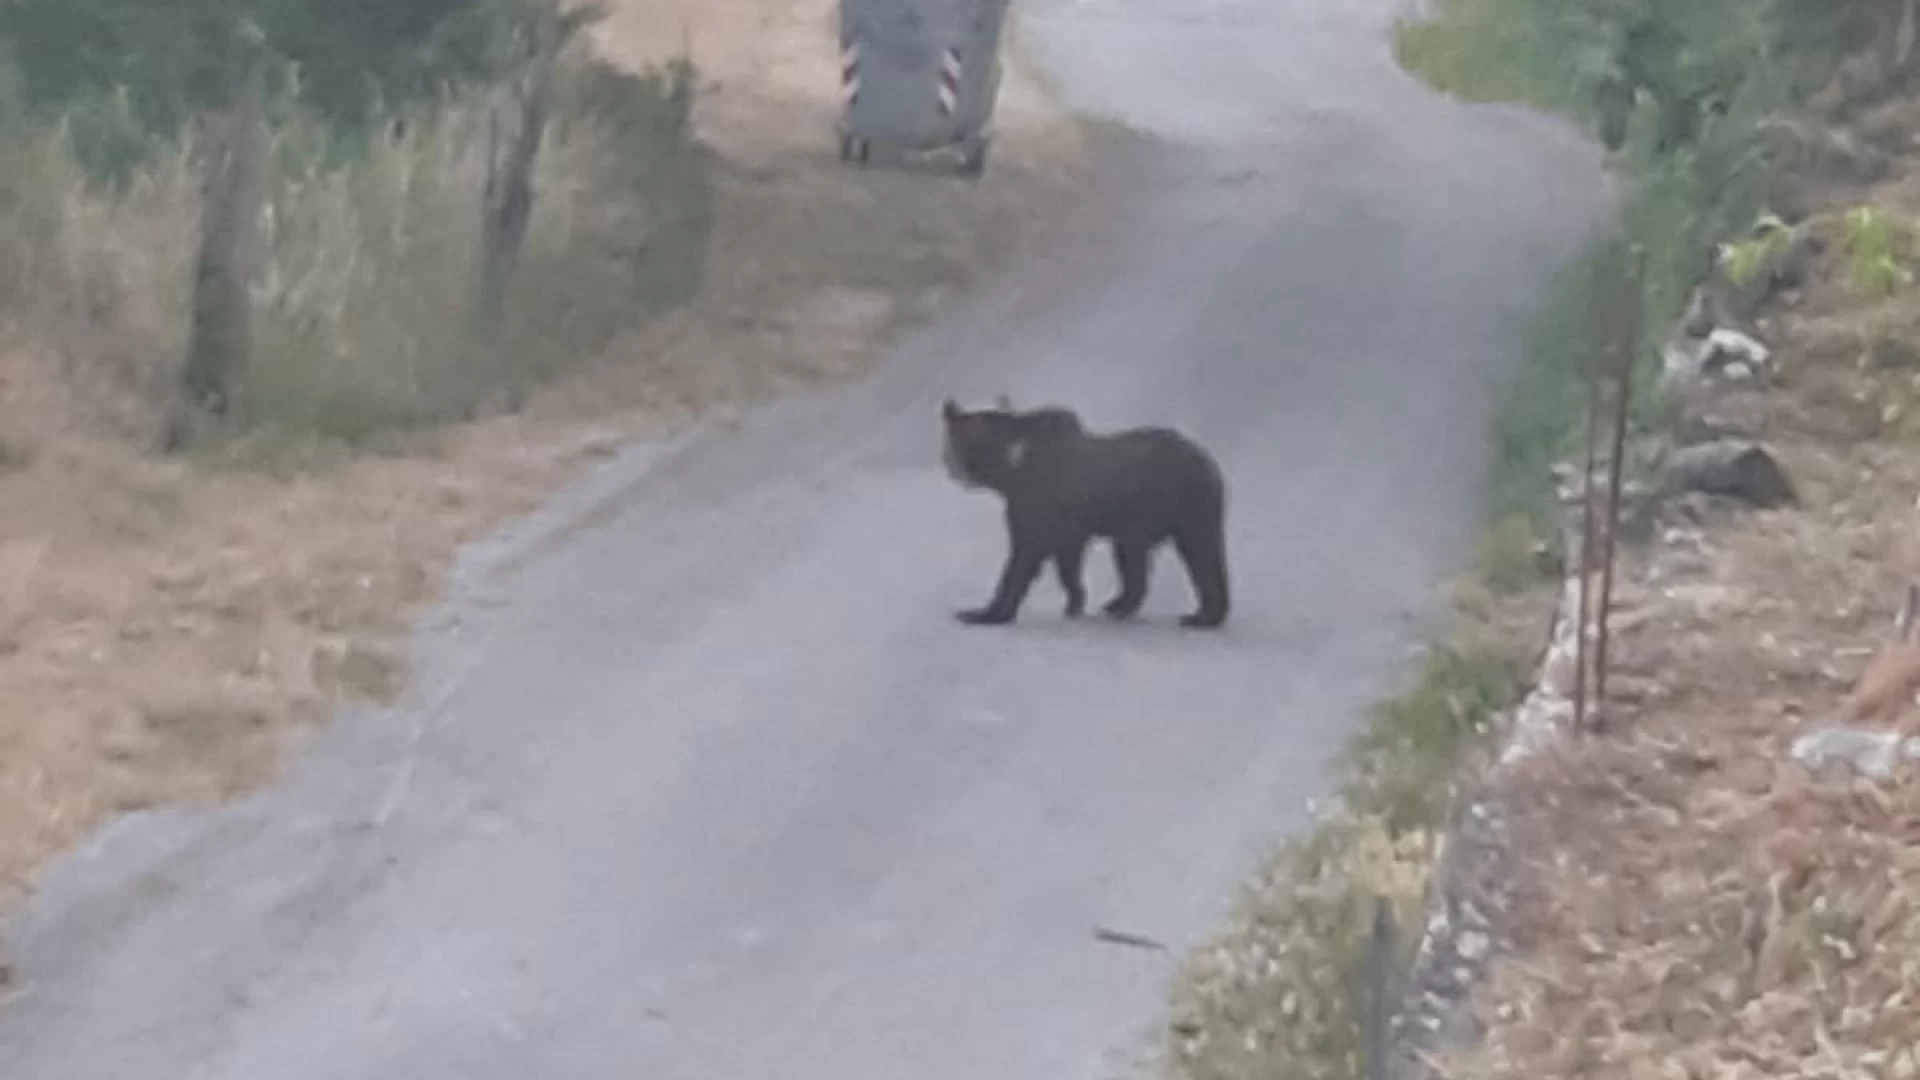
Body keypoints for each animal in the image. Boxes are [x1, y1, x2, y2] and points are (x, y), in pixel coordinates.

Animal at [940, 393, 1228, 630]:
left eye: (969, 440)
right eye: (959, 441)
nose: (959, 470)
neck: (1011, 473)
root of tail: (1207, 462)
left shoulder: (1037, 501)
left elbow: (1024, 554)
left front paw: (982, 612)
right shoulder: (1068, 523)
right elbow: (1067, 559)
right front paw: (1074, 601)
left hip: (1153, 504)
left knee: (1160, 556)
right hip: (1191, 510)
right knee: (1202, 553)